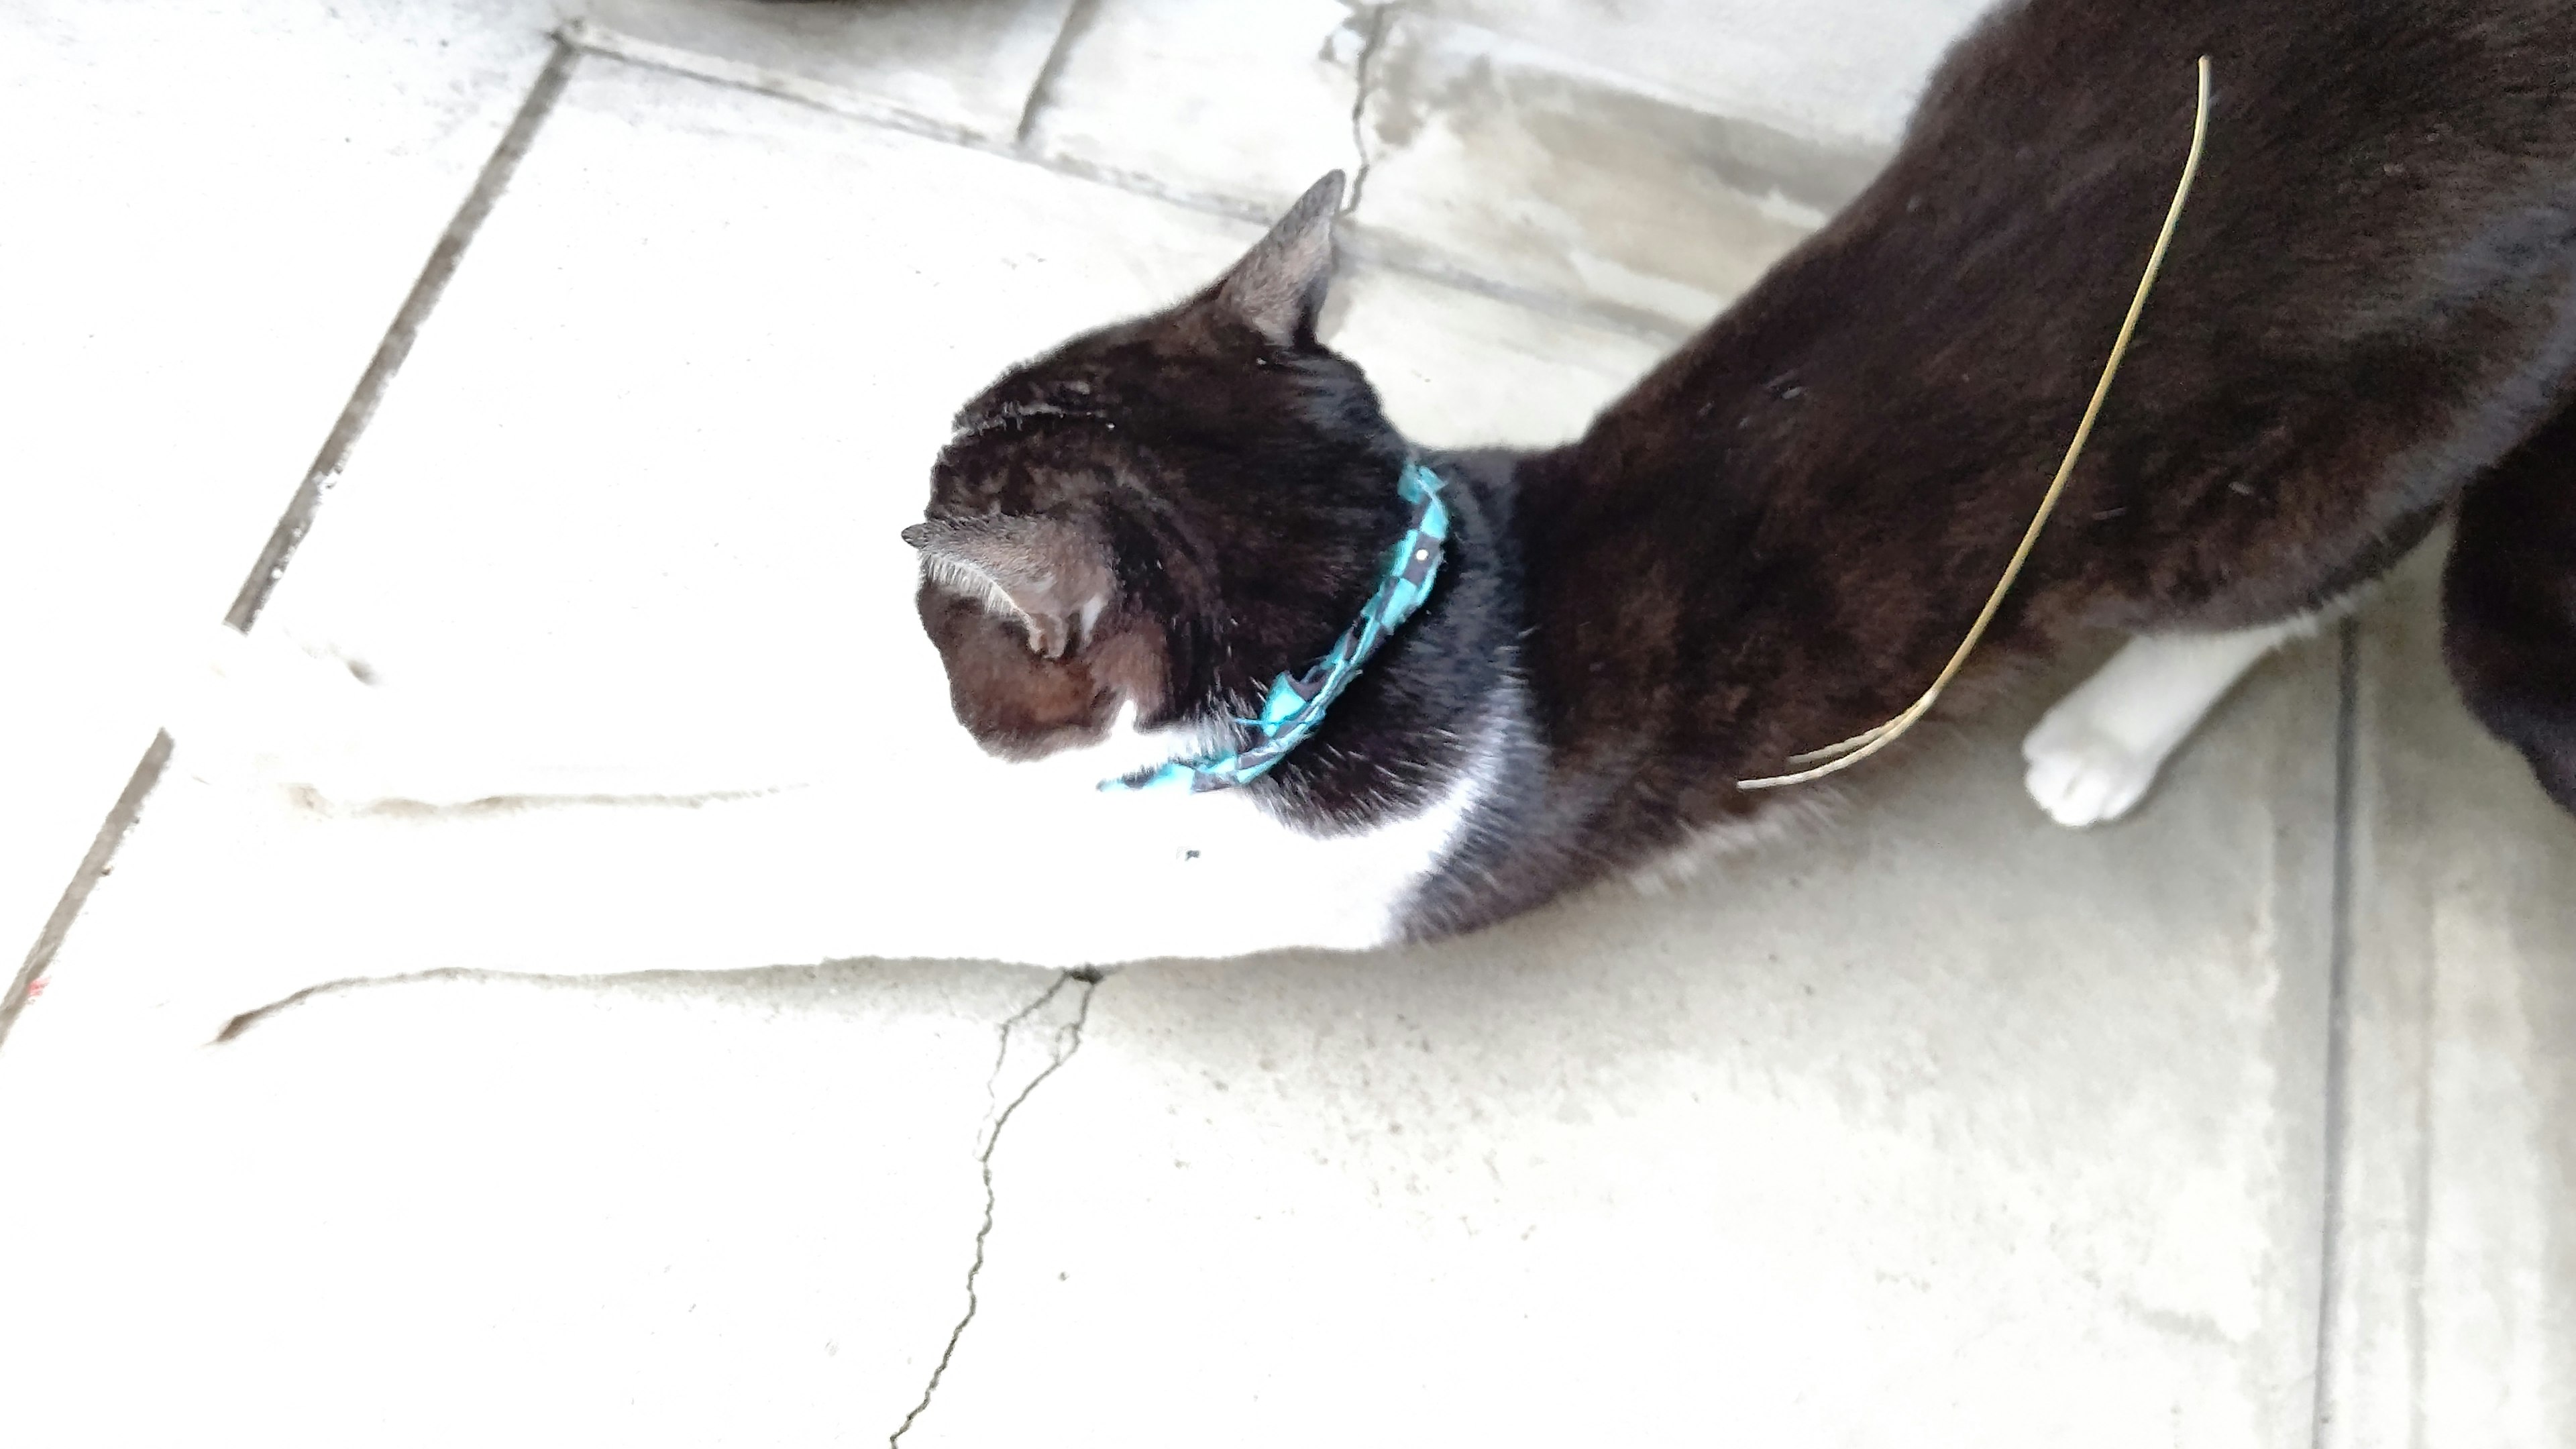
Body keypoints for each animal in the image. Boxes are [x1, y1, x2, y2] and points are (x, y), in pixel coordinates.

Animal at [181, 0, 2576, 989]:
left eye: (947, 584)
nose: (892, 512)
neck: (1390, 637)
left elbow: (686, 884)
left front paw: (290, 925)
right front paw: (298, 711)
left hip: (2322, 467)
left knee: (2320, 582)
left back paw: (2104, 734)